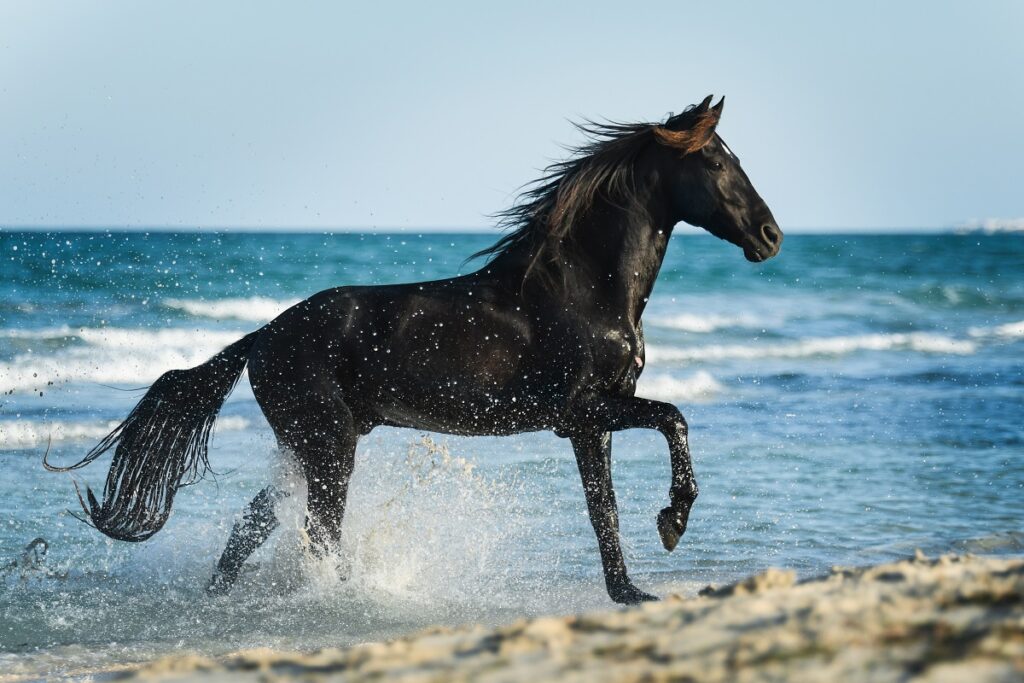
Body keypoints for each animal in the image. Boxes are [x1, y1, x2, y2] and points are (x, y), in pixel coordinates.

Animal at [46, 96, 782, 602]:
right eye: (716, 161)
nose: (771, 236)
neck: (579, 288)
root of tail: (263, 336)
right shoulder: (581, 411)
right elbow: (674, 419)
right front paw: (673, 521)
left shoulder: (588, 424)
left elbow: (605, 510)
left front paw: (630, 592)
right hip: (328, 445)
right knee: (314, 529)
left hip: (311, 444)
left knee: (256, 523)